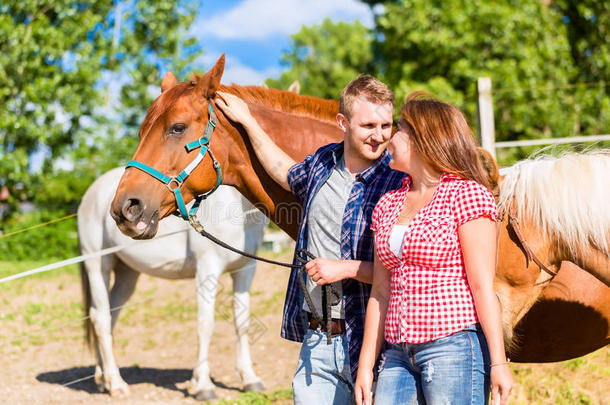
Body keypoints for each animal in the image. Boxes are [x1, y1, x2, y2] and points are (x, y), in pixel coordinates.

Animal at [76, 166, 266, 400]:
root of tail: (92, 193)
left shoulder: (245, 270)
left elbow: (242, 323)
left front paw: (249, 379)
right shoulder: (207, 270)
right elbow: (206, 325)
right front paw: (203, 386)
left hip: (127, 273)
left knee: (110, 317)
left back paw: (104, 380)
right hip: (97, 266)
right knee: (101, 319)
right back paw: (116, 384)